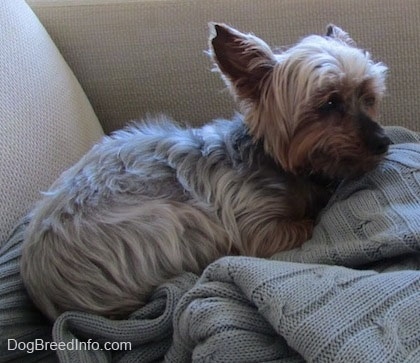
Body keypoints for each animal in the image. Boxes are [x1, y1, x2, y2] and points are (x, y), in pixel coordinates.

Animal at [20, 22, 390, 320]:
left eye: (368, 97)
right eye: (329, 103)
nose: (383, 141)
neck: (279, 163)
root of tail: (48, 294)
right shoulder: (257, 228)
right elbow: (301, 222)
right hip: (169, 222)